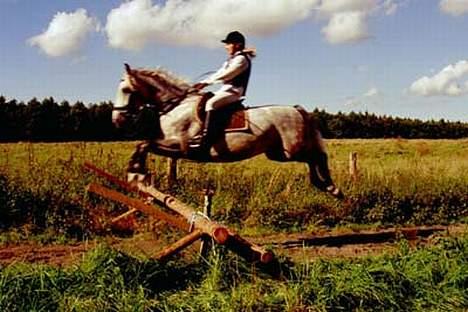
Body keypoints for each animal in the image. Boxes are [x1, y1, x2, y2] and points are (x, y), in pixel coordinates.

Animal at [111, 64, 342, 200]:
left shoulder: (180, 146)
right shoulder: (172, 147)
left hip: (291, 149)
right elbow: (143, 144)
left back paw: (332, 188)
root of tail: (296, 109)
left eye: (125, 90)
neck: (175, 105)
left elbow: (144, 143)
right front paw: (136, 171)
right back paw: (324, 186)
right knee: (314, 159)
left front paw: (135, 171)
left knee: (316, 157)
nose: (116, 120)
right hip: (279, 153)